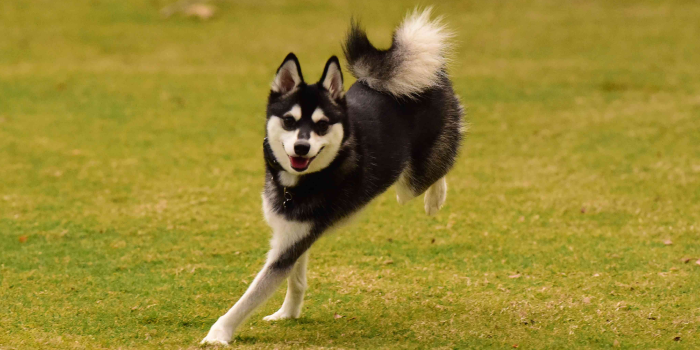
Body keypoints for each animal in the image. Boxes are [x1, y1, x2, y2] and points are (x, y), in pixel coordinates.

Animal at [202, 8, 464, 344]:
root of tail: (430, 74)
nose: (301, 147)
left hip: (411, 182)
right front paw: (287, 314)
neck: (296, 185)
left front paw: (219, 333)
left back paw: (435, 199)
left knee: (435, 171)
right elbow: (296, 280)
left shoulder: (287, 247)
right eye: (289, 121)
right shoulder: (294, 234)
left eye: (322, 125)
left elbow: (251, 295)